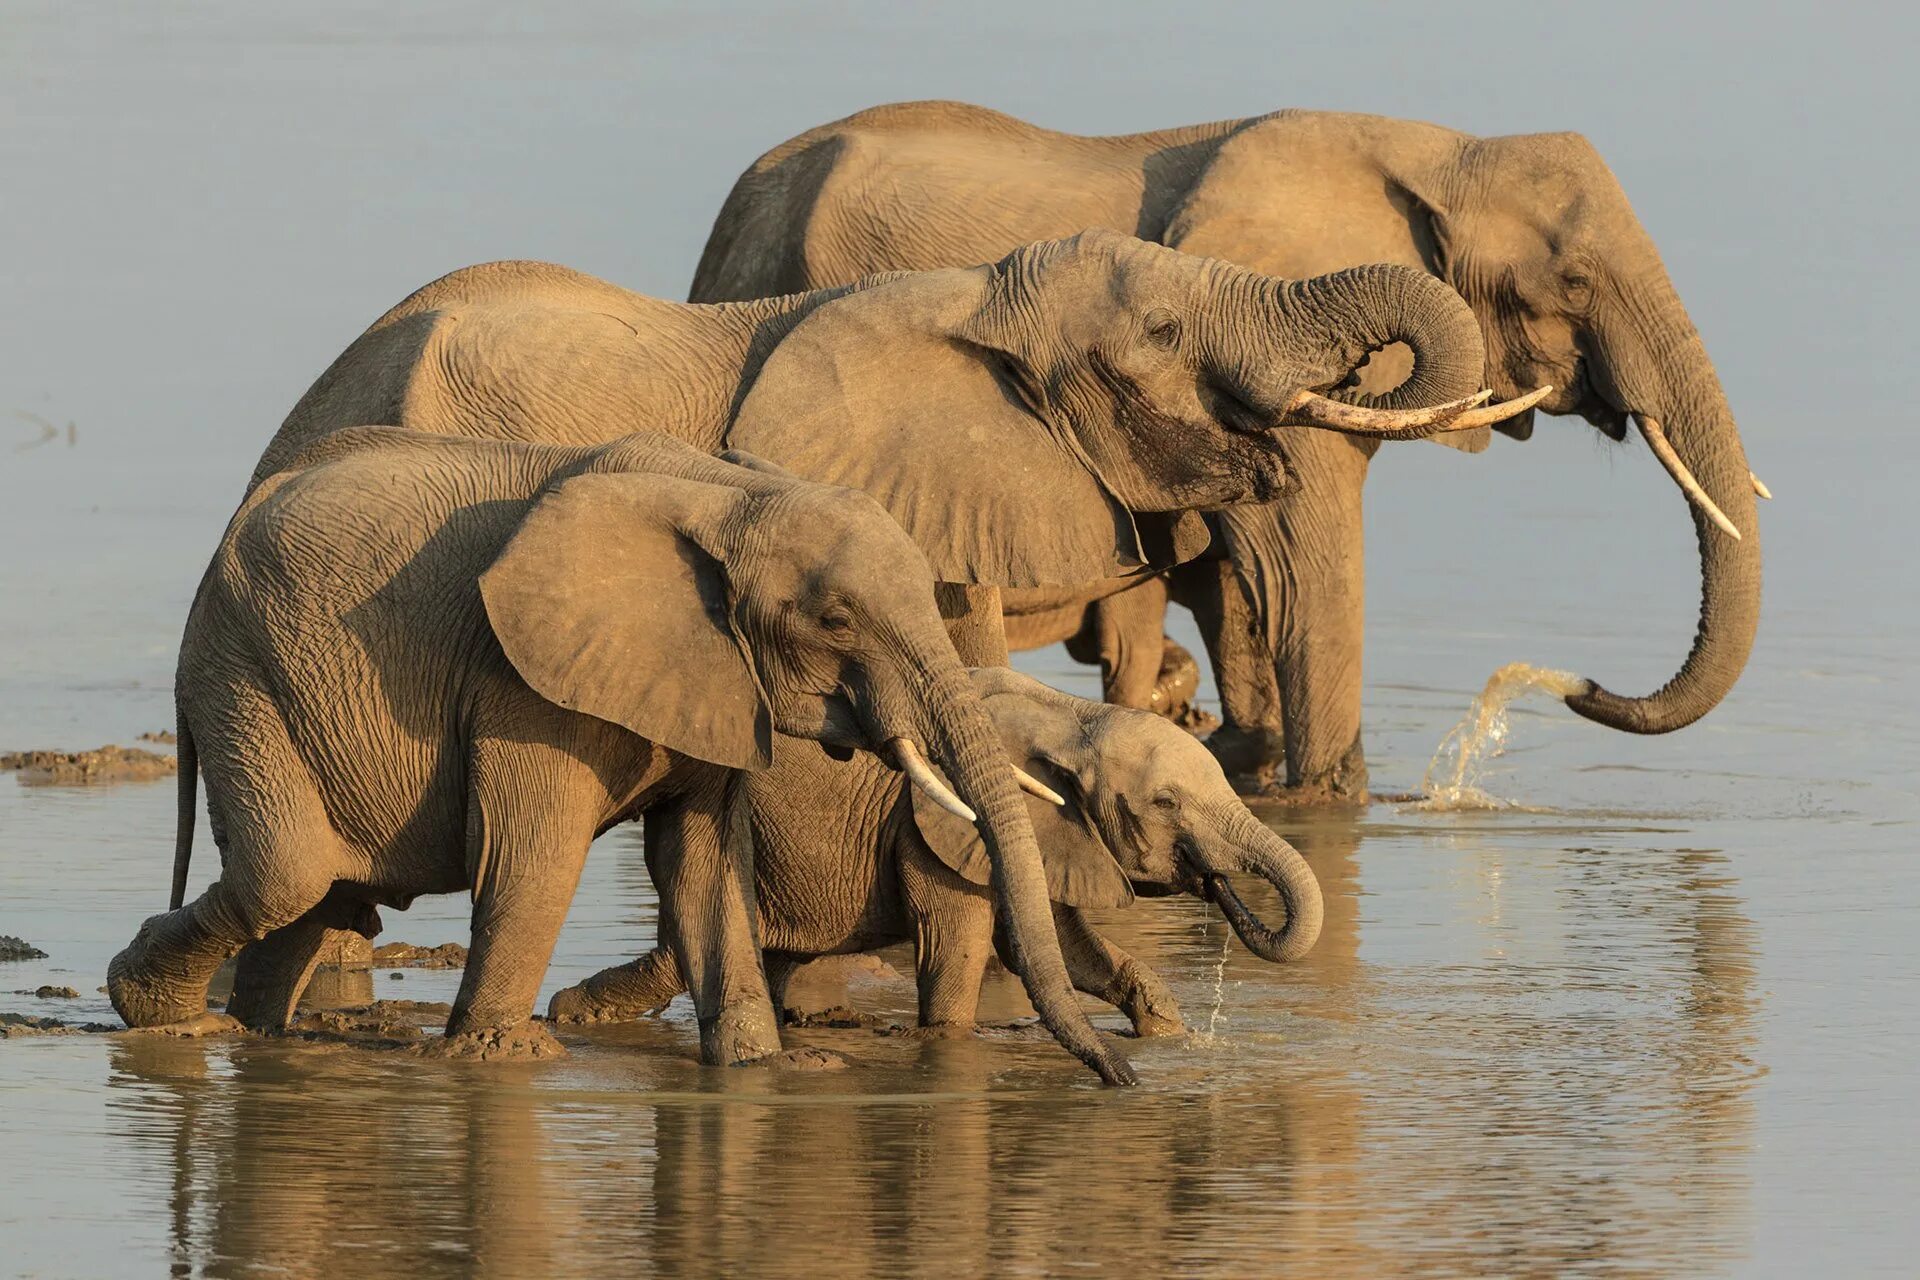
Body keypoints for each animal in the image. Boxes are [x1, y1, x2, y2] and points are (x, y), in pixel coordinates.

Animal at [108, 427, 1136, 1082]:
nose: (1122, 1076)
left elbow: (703, 864)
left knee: (319, 897)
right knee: (288, 874)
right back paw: (155, 1012)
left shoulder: (717, 677)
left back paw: (252, 1040)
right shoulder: (522, 683)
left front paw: (770, 1065)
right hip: (241, 672)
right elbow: (533, 852)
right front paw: (505, 1059)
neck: (727, 497)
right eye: (837, 619)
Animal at [541, 667, 1320, 1036]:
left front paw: (1168, 1037)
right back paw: (570, 1013)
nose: (1219, 886)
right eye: (1164, 804)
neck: (1070, 717)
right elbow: (963, 947)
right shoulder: (935, 826)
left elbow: (1064, 947)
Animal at [691, 102, 1766, 802]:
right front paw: (1328, 795)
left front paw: (1248, 758)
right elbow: (1298, 558)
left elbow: (1241, 579)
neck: (1443, 150)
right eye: (1575, 280)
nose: (1581, 686)